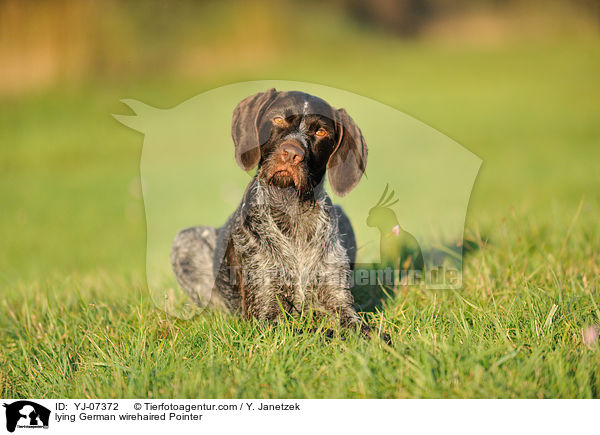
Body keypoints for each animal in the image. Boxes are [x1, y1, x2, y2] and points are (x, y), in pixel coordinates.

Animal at [171, 88, 386, 340]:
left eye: (320, 131)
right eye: (278, 119)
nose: (291, 153)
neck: (293, 208)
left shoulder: (339, 302)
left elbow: (358, 326)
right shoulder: (268, 316)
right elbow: (318, 333)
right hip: (186, 240)